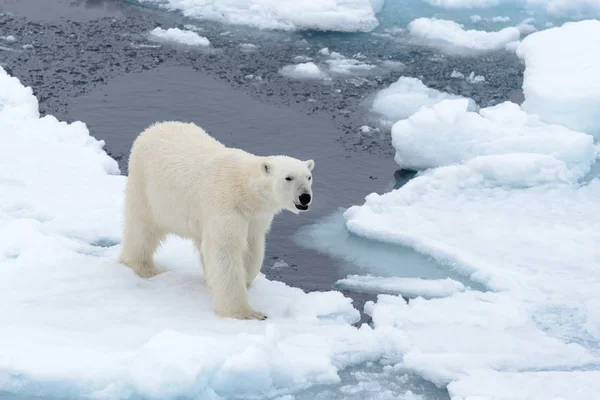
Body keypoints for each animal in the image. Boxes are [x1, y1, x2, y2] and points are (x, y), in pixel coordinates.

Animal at [118, 120, 314, 320]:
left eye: (308, 177)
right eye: (288, 177)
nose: (305, 197)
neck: (244, 190)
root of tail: (153, 127)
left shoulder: (254, 217)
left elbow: (251, 247)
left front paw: (246, 279)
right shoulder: (226, 206)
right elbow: (224, 251)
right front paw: (246, 312)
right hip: (146, 187)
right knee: (142, 228)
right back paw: (144, 267)